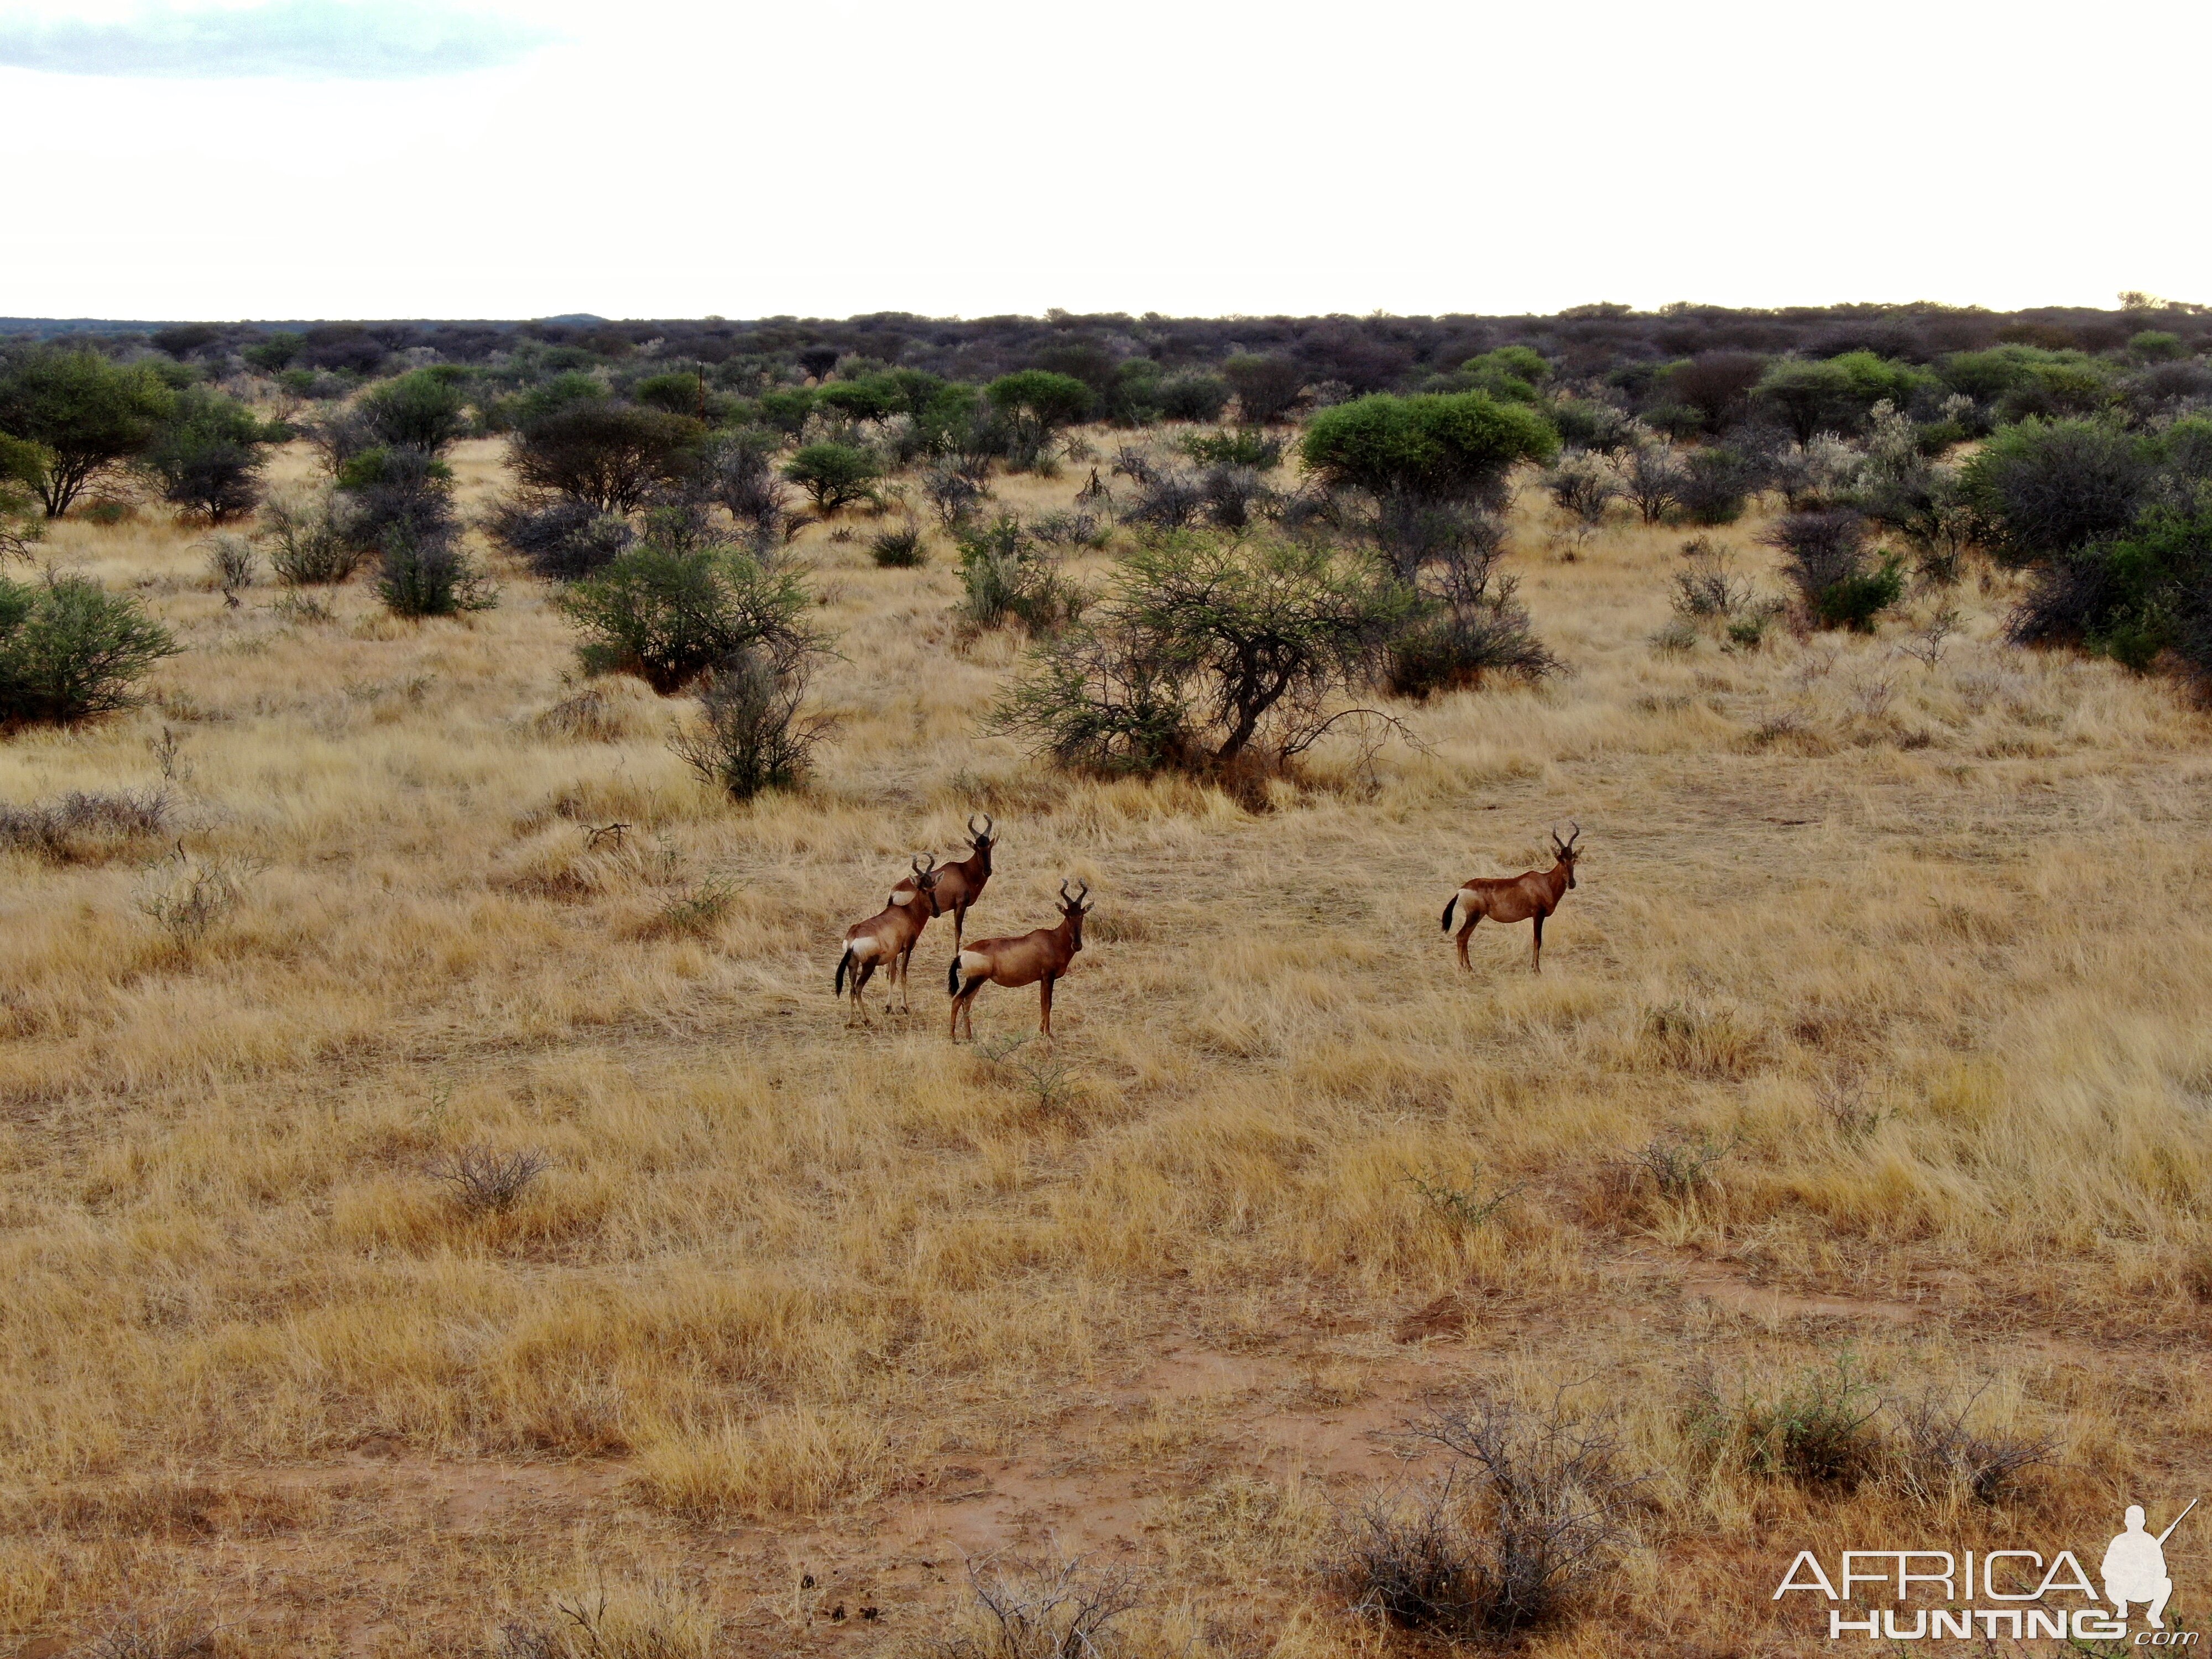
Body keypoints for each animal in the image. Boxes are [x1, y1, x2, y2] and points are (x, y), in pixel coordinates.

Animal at [832, 858, 933, 1026]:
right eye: (923, 889)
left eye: (933, 887)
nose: (936, 911)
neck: (906, 912)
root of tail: (853, 938)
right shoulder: (907, 949)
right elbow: (903, 976)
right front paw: (905, 1008)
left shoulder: (894, 954)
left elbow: (892, 976)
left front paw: (889, 1007)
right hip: (869, 965)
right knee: (858, 988)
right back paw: (865, 1020)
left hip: (853, 964)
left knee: (851, 989)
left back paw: (851, 1021)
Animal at [898, 814, 1004, 947]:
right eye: (977, 847)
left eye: (989, 846)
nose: (987, 871)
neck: (964, 870)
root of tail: (894, 891)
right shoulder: (961, 905)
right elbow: (958, 932)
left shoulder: (954, 908)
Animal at [947, 885, 1093, 1040]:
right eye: (1068, 915)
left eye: (1081, 915)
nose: (1077, 945)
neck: (1053, 939)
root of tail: (962, 953)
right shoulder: (1049, 977)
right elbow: (1048, 1004)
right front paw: (1048, 1034)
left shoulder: (1043, 979)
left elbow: (1043, 1003)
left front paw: (1041, 1031)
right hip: (975, 980)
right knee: (957, 1000)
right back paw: (953, 1037)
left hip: (977, 981)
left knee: (967, 1002)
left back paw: (969, 1036)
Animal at [1442, 827, 1584, 973]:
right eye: (1561, 860)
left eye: (1574, 859)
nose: (1572, 883)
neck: (1545, 882)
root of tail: (1462, 890)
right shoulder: (1538, 915)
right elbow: (1537, 941)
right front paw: (1537, 970)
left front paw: (1533, 966)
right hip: (1474, 916)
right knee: (1461, 936)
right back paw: (1463, 968)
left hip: (1476, 917)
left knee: (1465, 938)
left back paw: (1469, 967)